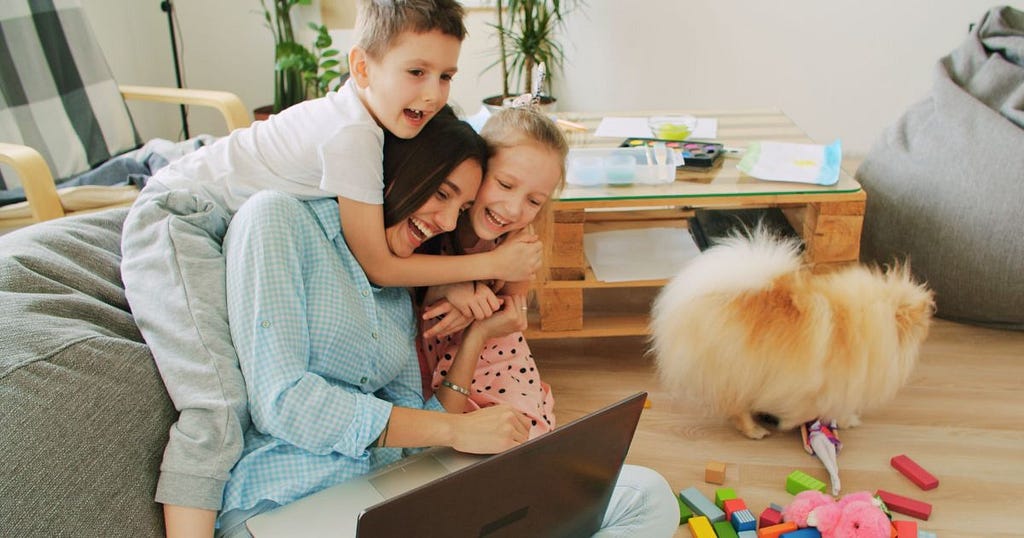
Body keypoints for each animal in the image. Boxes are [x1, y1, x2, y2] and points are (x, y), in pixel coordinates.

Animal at [651, 228, 933, 438]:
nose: (928, 327)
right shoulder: (836, 382)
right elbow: (827, 407)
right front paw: (843, 420)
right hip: (736, 372)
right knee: (737, 408)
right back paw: (754, 430)